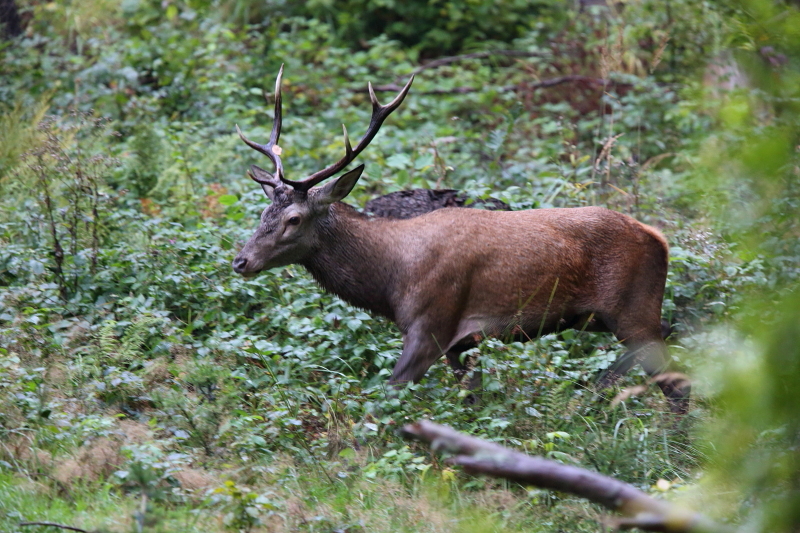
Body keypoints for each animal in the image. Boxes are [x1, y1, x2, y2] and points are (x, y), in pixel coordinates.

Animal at [233, 66, 692, 414]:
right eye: (263, 213)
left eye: (293, 219)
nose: (241, 261)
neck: (390, 279)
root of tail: (659, 238)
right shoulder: (462, 344)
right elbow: (472, 403)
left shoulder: (431, 323)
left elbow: (387, 397)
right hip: (606, 317)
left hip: (632, 308)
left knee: (675, 377)